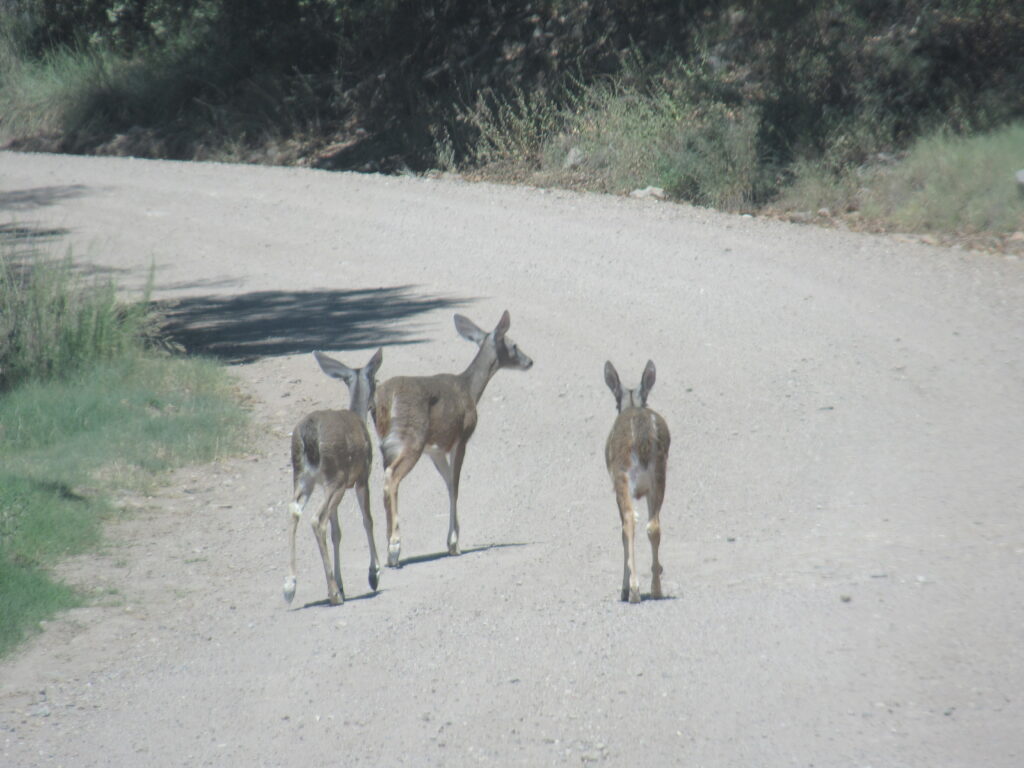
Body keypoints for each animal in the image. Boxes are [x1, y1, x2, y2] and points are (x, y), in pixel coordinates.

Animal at [283, 348, 384, 606]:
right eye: (376, 381)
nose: (375, 405)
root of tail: (308, 435)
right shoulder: (362, 477)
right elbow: (368, 520)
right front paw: (373, 574)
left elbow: (337, 532)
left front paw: (341, 583)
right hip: (335, 478)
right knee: (316, 520)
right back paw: (333, 594)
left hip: (304, 479)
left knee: (294, 514)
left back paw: (290, 586)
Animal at [371, 310, 533, 567]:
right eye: (514, 344)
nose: (529, 361)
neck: (470, 390)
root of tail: (385, 399)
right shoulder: (461, 437)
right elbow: (455, 485)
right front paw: (453, 542)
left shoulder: (436, 449)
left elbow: (448, 483)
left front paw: (455, 535)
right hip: (411, 438)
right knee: (391, 479)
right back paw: (395, 547)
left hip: (387, 443)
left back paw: (388, 548)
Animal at [604, 359, 671, 603]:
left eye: (616, 402)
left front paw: (624, 588)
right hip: (659, 476)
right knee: (654, 525)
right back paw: (657, 588)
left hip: (623, 477)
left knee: (629, 521)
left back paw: (632, 591)